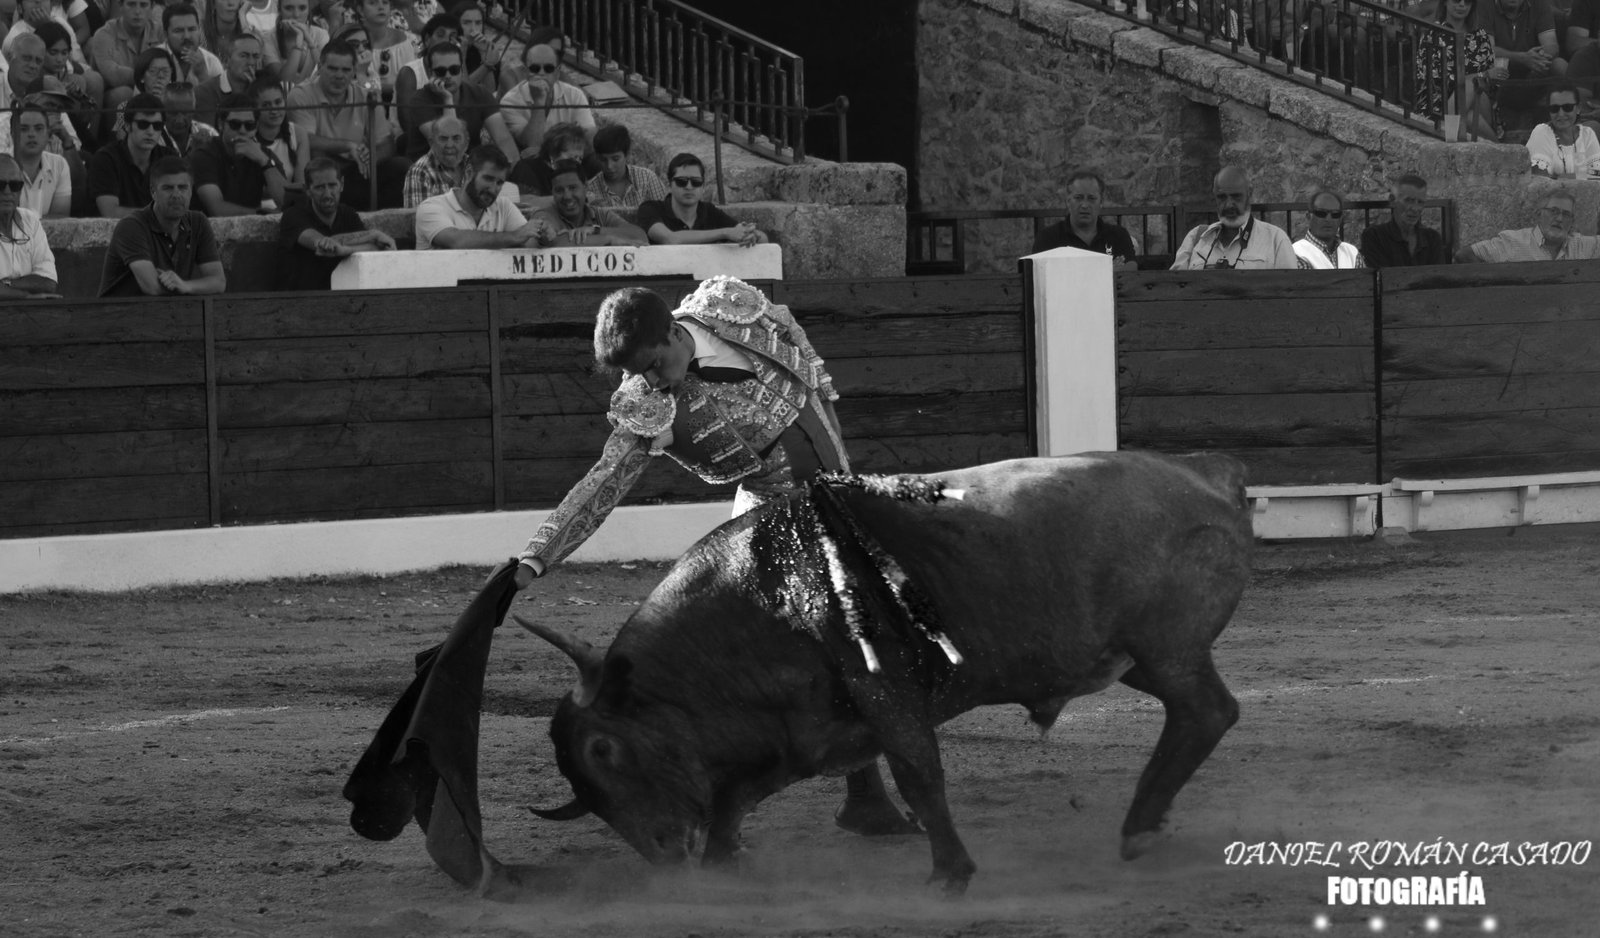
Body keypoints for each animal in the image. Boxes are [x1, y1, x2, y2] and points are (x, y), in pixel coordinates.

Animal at [344, 451, 1254, 889]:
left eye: (604, 751)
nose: (663, 855)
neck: (762, 599)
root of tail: (1210, 475)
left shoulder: (884, 696)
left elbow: (920, 774)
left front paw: (949, 871)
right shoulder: (808, 732)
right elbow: (740, 794)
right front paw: (725, 860)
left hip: (1165, 650)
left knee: (1208, 713)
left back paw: (1138, 827)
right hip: (1147, 660)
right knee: (1206, 714)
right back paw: (1144, 824)